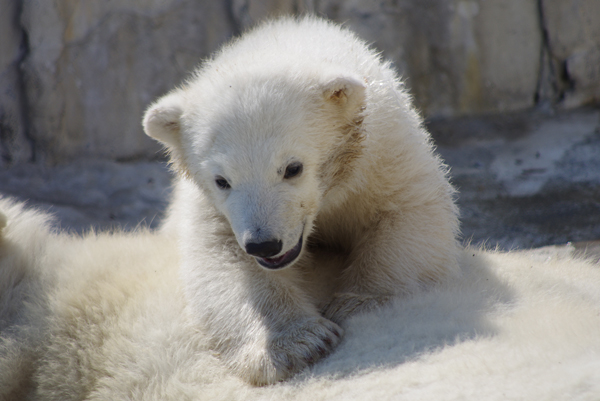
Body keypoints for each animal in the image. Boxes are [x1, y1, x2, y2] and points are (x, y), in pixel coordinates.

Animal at [0, 14, 596, 398]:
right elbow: (222, 264)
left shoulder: (382, 148)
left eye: (293, 167)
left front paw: (361, 304)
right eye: (222, 179)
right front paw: (299, 344)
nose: (266, 243)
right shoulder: (206, 210)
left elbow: (408, 215)